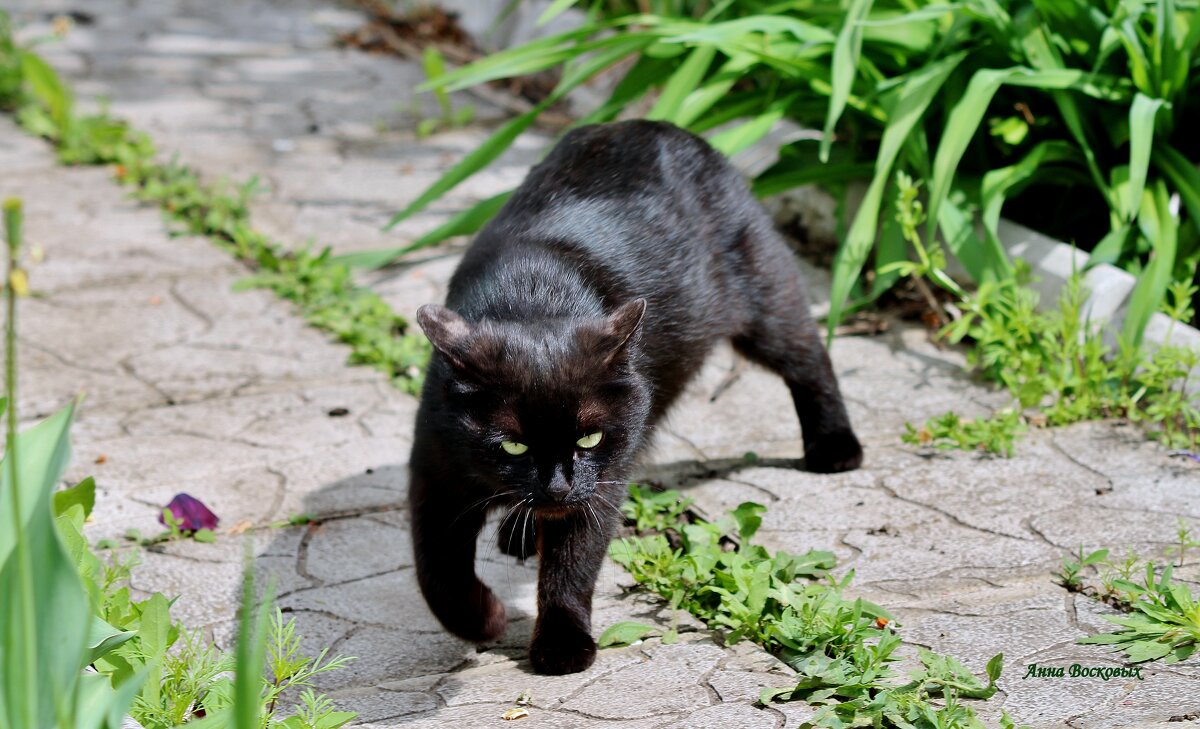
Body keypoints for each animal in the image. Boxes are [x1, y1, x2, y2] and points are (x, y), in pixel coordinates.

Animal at [408, 118, 859, 671]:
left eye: (589, 439)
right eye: (513, 446)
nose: (558, 488)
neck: (532, 297)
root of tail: (658, 126)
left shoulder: (601, 482)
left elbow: (573, 566)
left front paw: (561, 644)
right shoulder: (436, 471)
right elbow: (437, 571)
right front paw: (482, 619)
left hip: (767, 298)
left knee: (809, 358)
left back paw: (836, 446)